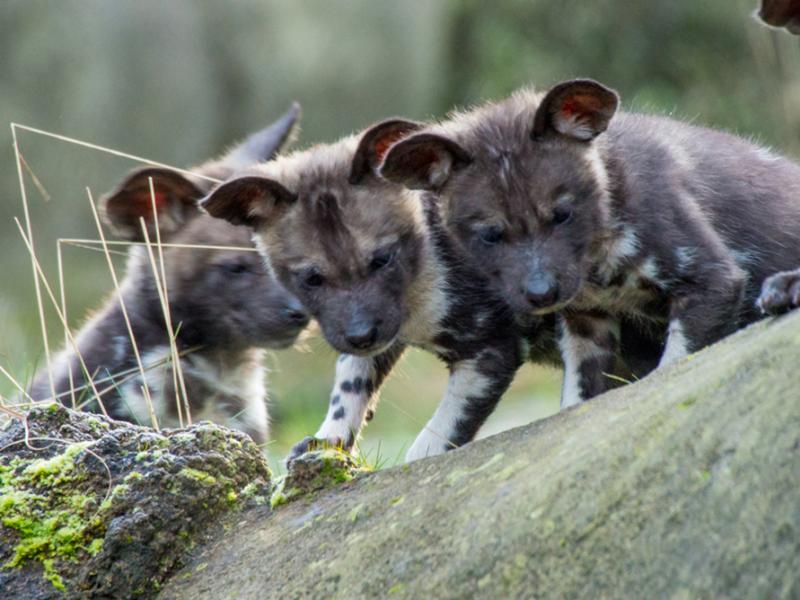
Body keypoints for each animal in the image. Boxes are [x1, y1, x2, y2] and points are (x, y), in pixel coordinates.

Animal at [200, 120, 528, 460]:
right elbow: (349, 387)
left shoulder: (488, 351)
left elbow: (436, 437)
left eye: (382, 260)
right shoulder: (371, 336)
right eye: (312, 278)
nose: (361, 335)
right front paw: (326, 442)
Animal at [378, 79, 800, 406]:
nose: (541, 293)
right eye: (491, 234)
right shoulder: (586, 324)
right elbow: (576, 402)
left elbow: (668, 374)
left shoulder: (712, 281)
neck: (600, 262)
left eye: (562, 214)